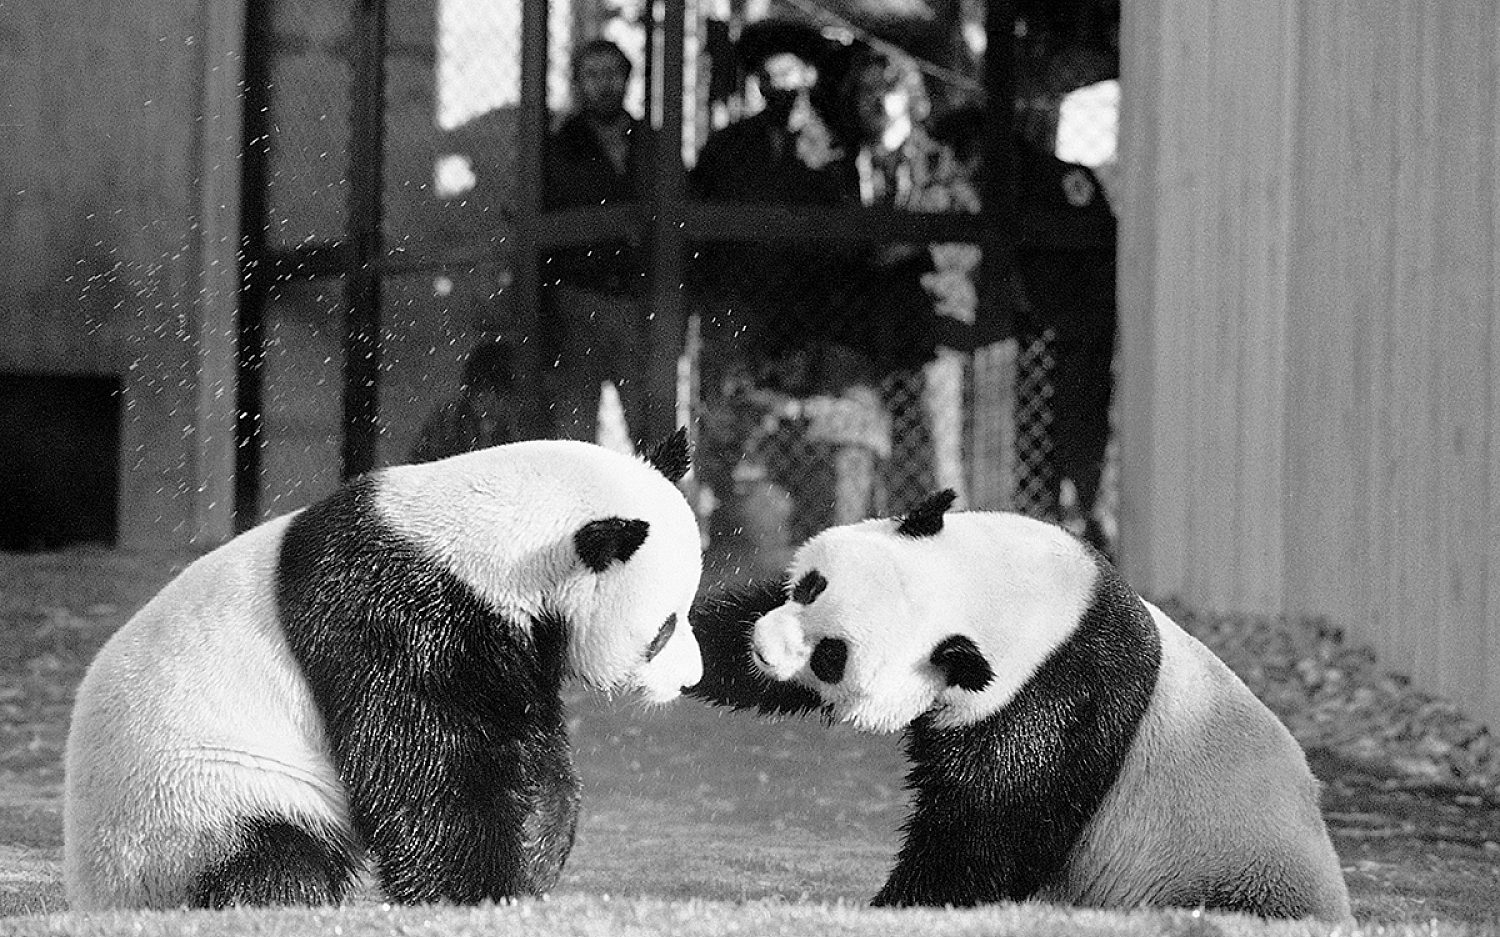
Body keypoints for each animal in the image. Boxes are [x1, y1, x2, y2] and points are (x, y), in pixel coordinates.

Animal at [64, 433, 704, 911]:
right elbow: (423, 761)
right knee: (274, 855)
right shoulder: (397, 616)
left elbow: (530, 747)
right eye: (664, 628)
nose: (691, 680)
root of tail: (99, 898)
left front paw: (536, 856)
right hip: (197, 800)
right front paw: (471, 892)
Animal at [689, 489, 1352, 922]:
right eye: (810, 587)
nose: (764, 648)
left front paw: (892, 909)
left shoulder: (1054, 697)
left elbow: (987, 828)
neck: (1003, 597)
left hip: (1225, 874)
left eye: (833, 655)